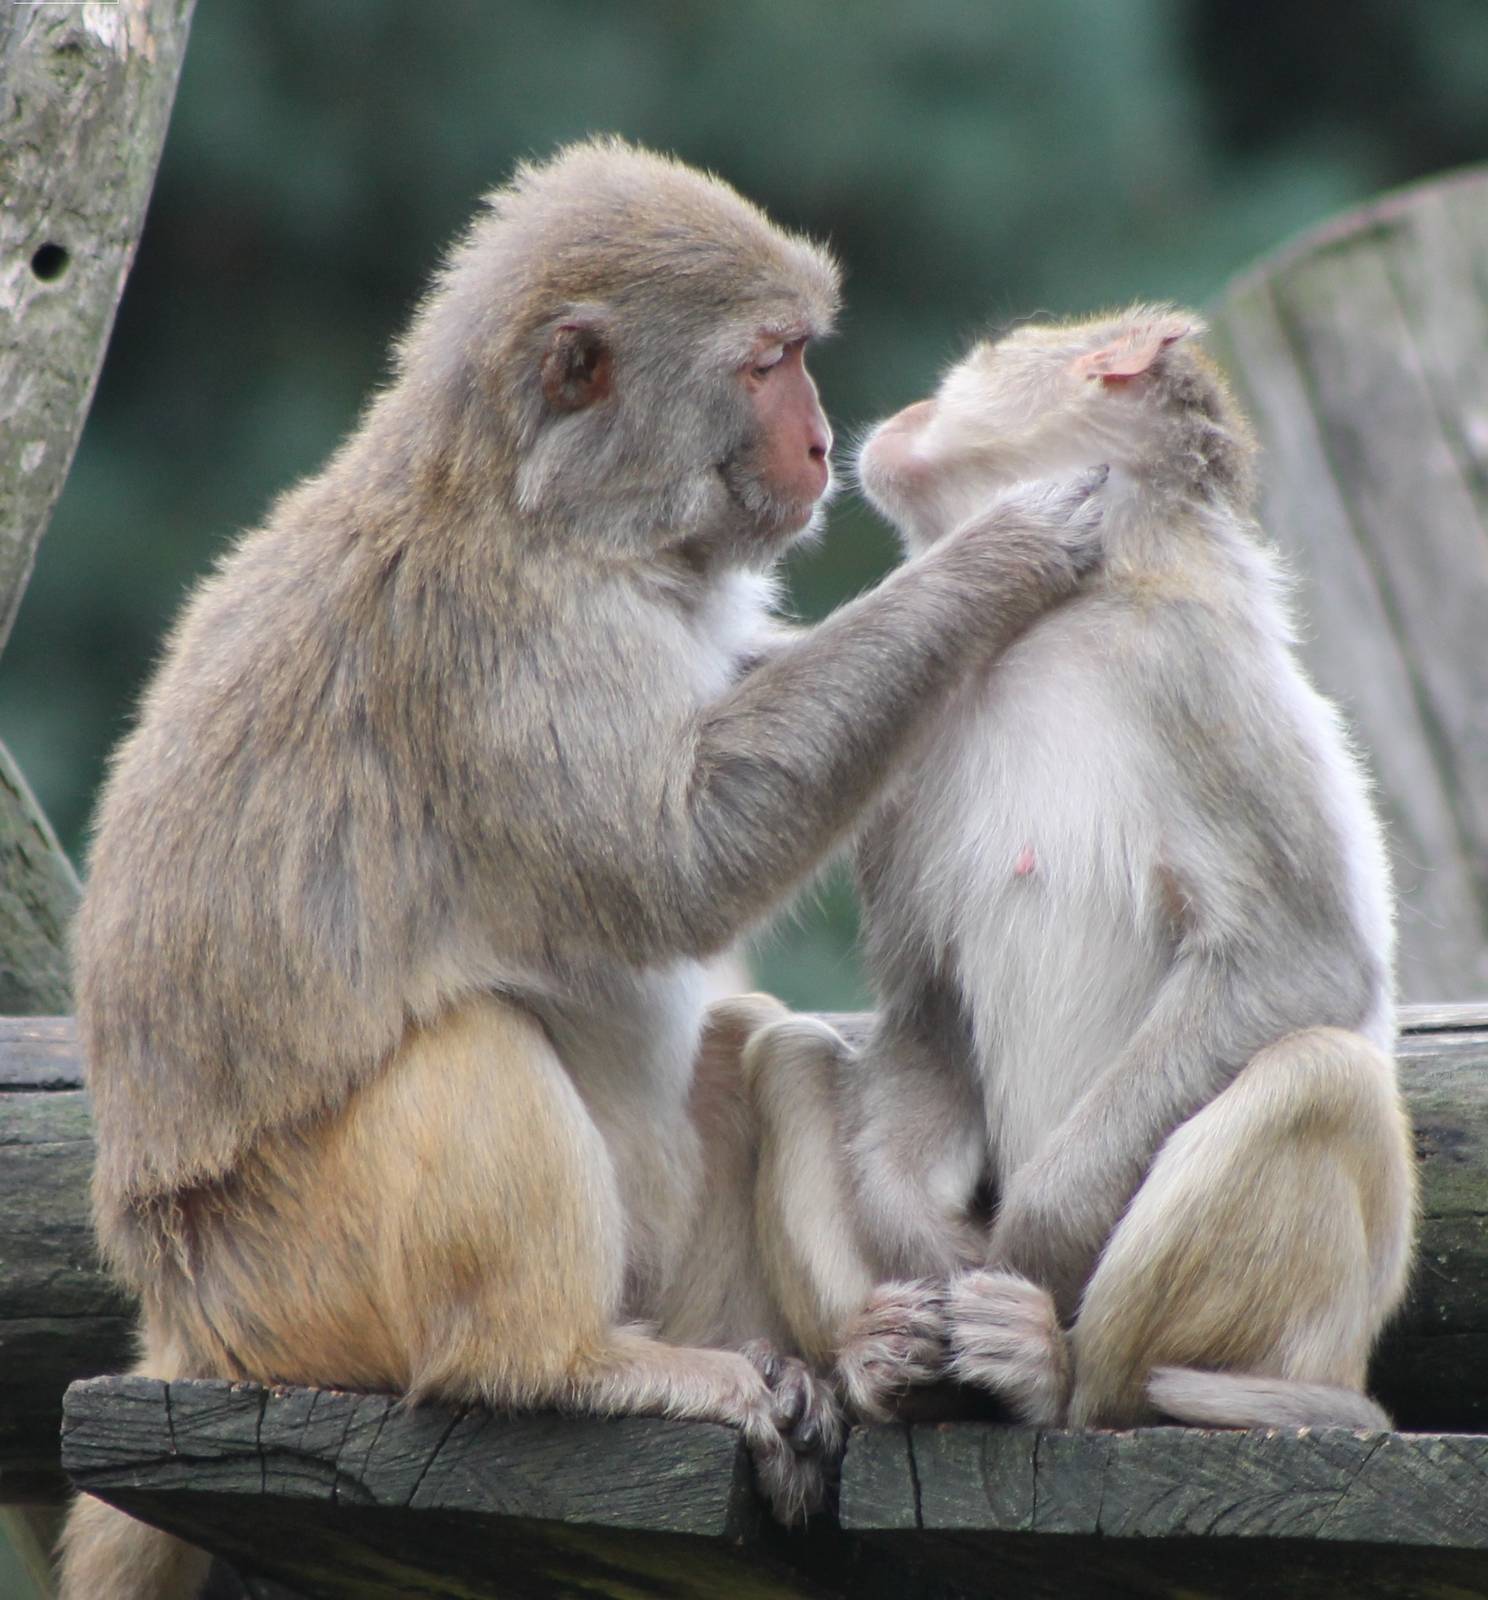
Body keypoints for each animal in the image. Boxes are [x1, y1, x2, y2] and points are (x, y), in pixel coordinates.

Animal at [59, 141, 1108, 1598]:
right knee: (469, 1050)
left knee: (732, 1039)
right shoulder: (502, 651)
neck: (560, 522)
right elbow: (679, 863)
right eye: (771, 362)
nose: (822, 441)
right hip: (293, 1287)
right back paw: (563, 1363)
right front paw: (1001, 555)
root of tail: (181, 1326)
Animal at [743, 305, 1416, 1434]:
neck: (1055, 623)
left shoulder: (1192, 671)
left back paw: (1058, 1374)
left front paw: (1029, 1244)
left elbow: (1299, 960)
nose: (909, 410)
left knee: (1318, 1075)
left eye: (984, 356)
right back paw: (882, 1357)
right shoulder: (912, 729)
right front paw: (927, 1243)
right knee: (789, 1052)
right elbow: (928, 999)